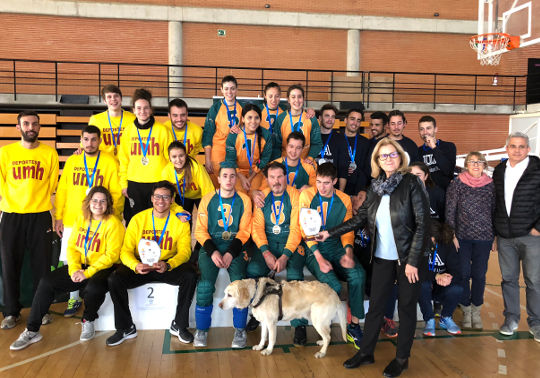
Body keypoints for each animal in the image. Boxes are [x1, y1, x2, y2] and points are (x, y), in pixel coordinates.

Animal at [218, 276, 346, 358]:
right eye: (224, 294)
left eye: (230, 295)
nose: (219, 305)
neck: (258, 293)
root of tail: (335, 294)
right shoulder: (264, 322)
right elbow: (263, 336)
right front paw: (260, 346)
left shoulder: (271, 323)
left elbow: (271, 339)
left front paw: (268, 350)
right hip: (319, 320)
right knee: (328, 334)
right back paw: (322, 342)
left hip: (317, 320)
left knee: (328, 336)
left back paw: (322, 353)